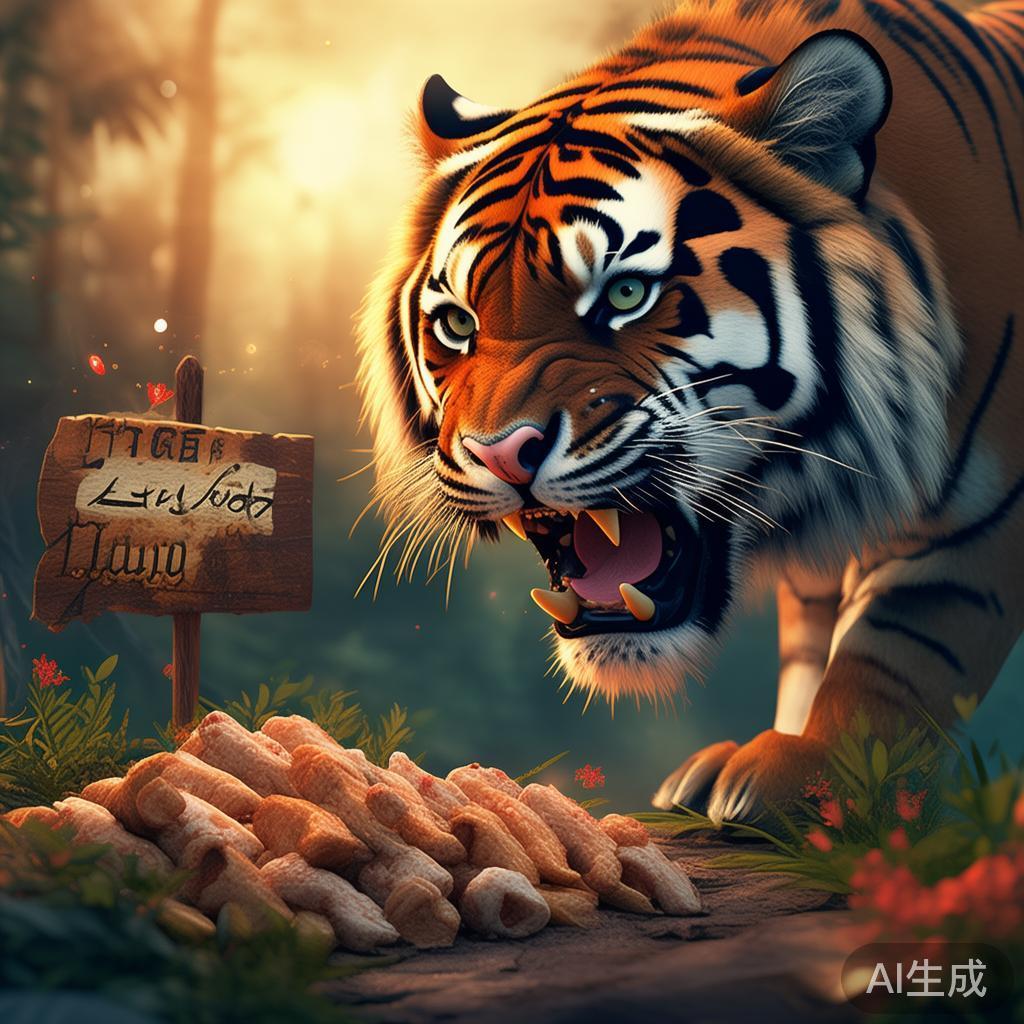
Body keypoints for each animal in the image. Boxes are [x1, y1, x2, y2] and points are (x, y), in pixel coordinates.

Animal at [356, 0, 1023, 824]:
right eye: (456, 323)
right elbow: (812, 645)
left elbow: (895, 644)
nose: (498, 453)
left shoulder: (979, 517)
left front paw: (816, 774)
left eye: (624, 294)